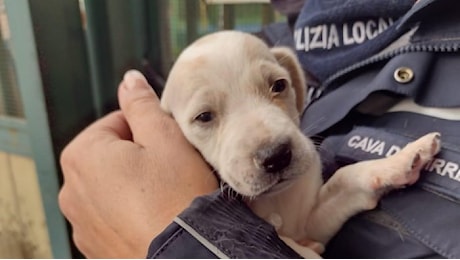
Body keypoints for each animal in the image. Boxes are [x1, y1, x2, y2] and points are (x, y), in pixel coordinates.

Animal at [160, 30, 440, 258]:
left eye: (279, 85)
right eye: (204, 117)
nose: (276, 156)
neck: (277, 201)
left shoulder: (311, 222)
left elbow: (346, 177)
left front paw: (403, 159)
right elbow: (295, 246)